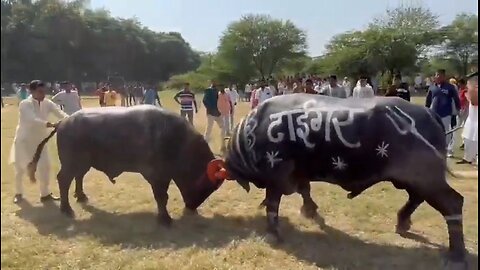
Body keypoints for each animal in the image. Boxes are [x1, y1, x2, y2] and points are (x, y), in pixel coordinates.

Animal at [28, 105, 225, 226]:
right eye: (210, 185)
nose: (192, 208)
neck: (177, 142)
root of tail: (63, 122)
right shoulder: (157, 176)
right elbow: (161, 197)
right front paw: (165, 219)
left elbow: (163, 197)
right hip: (71, 163)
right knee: (63, 180)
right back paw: (66, 209)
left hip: (82, 163)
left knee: (78, 177)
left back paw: (81, 196)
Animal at [211, 95, 468, 268]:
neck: (253, 132)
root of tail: (429, 114)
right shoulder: (299, 173)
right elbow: (305, 190)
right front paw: (310, 210)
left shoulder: (277, 174)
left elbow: (273, 203)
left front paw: (273, 232)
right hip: (414, 179)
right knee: (417, 198)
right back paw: (402, 221)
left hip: (425, 178)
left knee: (452, 203)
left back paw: (457, 254)